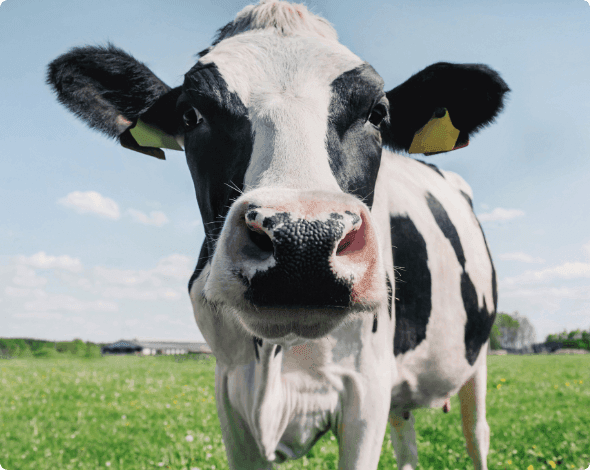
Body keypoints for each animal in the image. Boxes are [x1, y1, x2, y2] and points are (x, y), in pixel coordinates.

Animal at [47, 1, 508, 468]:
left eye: (377, 113)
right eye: (191, 114)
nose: (304, 241)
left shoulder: (367, 388)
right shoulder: (231, 391)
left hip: (476, 361)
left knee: (478, 433)